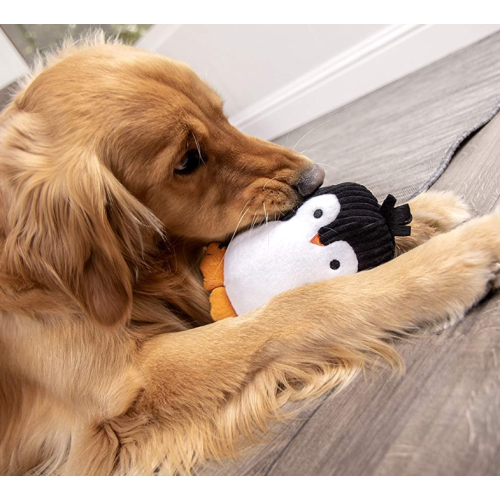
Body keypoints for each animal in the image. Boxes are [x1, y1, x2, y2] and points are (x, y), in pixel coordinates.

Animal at [0, 34, 500, 472]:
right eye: (187, 161)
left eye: (222, 115)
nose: (316, 178)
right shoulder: (134, 381)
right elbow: (297, 307)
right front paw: (451, 259)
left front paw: (423, 212)